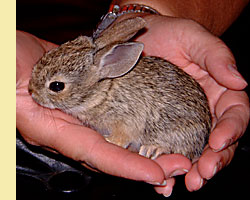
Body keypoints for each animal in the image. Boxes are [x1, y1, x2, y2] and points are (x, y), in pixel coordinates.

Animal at [28, 17, 211, 161]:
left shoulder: (127, 119)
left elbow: (123, 137)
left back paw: (153, 149)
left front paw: (110, 141)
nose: (31, 91)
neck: (103, 94)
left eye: (57, 86)